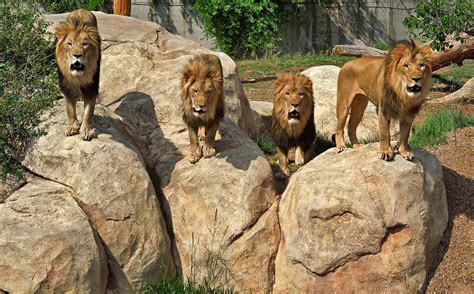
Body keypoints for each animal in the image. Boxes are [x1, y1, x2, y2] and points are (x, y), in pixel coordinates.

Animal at [54, 9, 100, 141]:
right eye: (69, 44)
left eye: (85, 44)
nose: (77, 55)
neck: (78, 77)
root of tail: (81, 9)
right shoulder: (66, 86)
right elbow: (70, 109)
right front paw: (72, 127)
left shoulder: (91, 87)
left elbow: (89, 112)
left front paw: (86, 130)